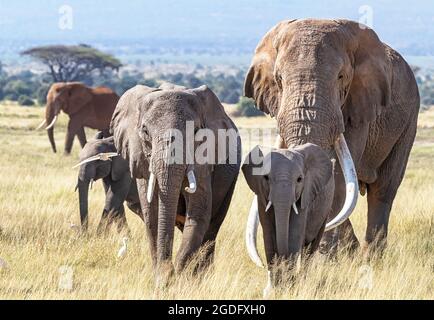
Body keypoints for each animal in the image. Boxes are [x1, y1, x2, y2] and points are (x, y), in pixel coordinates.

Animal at [110, 84, 242, 286]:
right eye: (145, 131)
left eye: (196, 131)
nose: (168, 274)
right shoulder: (141, 158)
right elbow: (152, 215)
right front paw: (163, 277)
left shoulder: (204, 159)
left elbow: (198, 213)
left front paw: (178, 276)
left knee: (212, 229)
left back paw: (202, 277)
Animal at [242, 144, 334, 294]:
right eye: (266, 177)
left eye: (300, 179)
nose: (283, 263)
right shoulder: (261, 195)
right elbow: (269, 236)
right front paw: (273, 290)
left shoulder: (305, 194)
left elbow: (294, 235)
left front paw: (288, 288)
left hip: (326, 209)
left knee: (310, 249)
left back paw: (303, 282)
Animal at [244, 18, 418, 262]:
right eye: (279, 79)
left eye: (341, 77)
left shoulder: (358, 108)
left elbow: (336, 176)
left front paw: (324, 260)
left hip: (408, 121)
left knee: (383, 189)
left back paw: (370, 259)